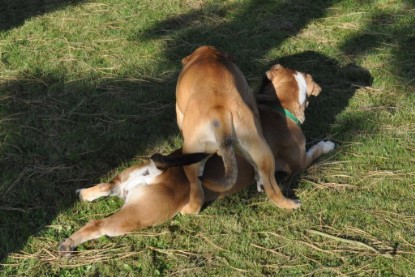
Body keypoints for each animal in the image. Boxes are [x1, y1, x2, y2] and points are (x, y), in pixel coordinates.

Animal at [57, 63, 334, 254]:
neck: (279, 104)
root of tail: (158, 173)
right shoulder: (299, 161)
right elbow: (313, 152)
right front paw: (327, 144)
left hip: (132, 174)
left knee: (109, 184)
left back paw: (84, 194)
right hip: (137, 215)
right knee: (97, 225)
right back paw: (69, 243)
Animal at [177, 45, 300, 213]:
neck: (207, 55)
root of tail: (220, 113)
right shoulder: (249, 96)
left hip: (190, 157)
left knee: (195, 186)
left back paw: (189, 210)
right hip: (260, 151)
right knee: (271, 185)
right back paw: (289, 203)